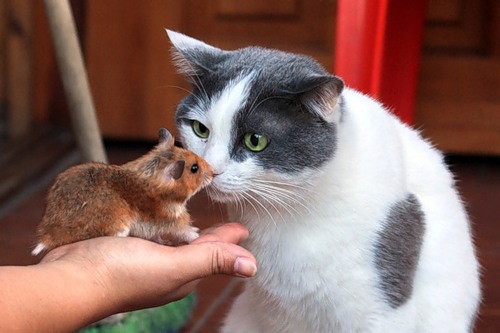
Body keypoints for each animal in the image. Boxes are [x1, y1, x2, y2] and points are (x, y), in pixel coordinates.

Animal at [31, 127, 211, 254]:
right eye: (194, 168)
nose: (213, 172)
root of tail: (47, 236)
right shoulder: (171, 220)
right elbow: (184, 231)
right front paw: (197, 235)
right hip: (119, 226)